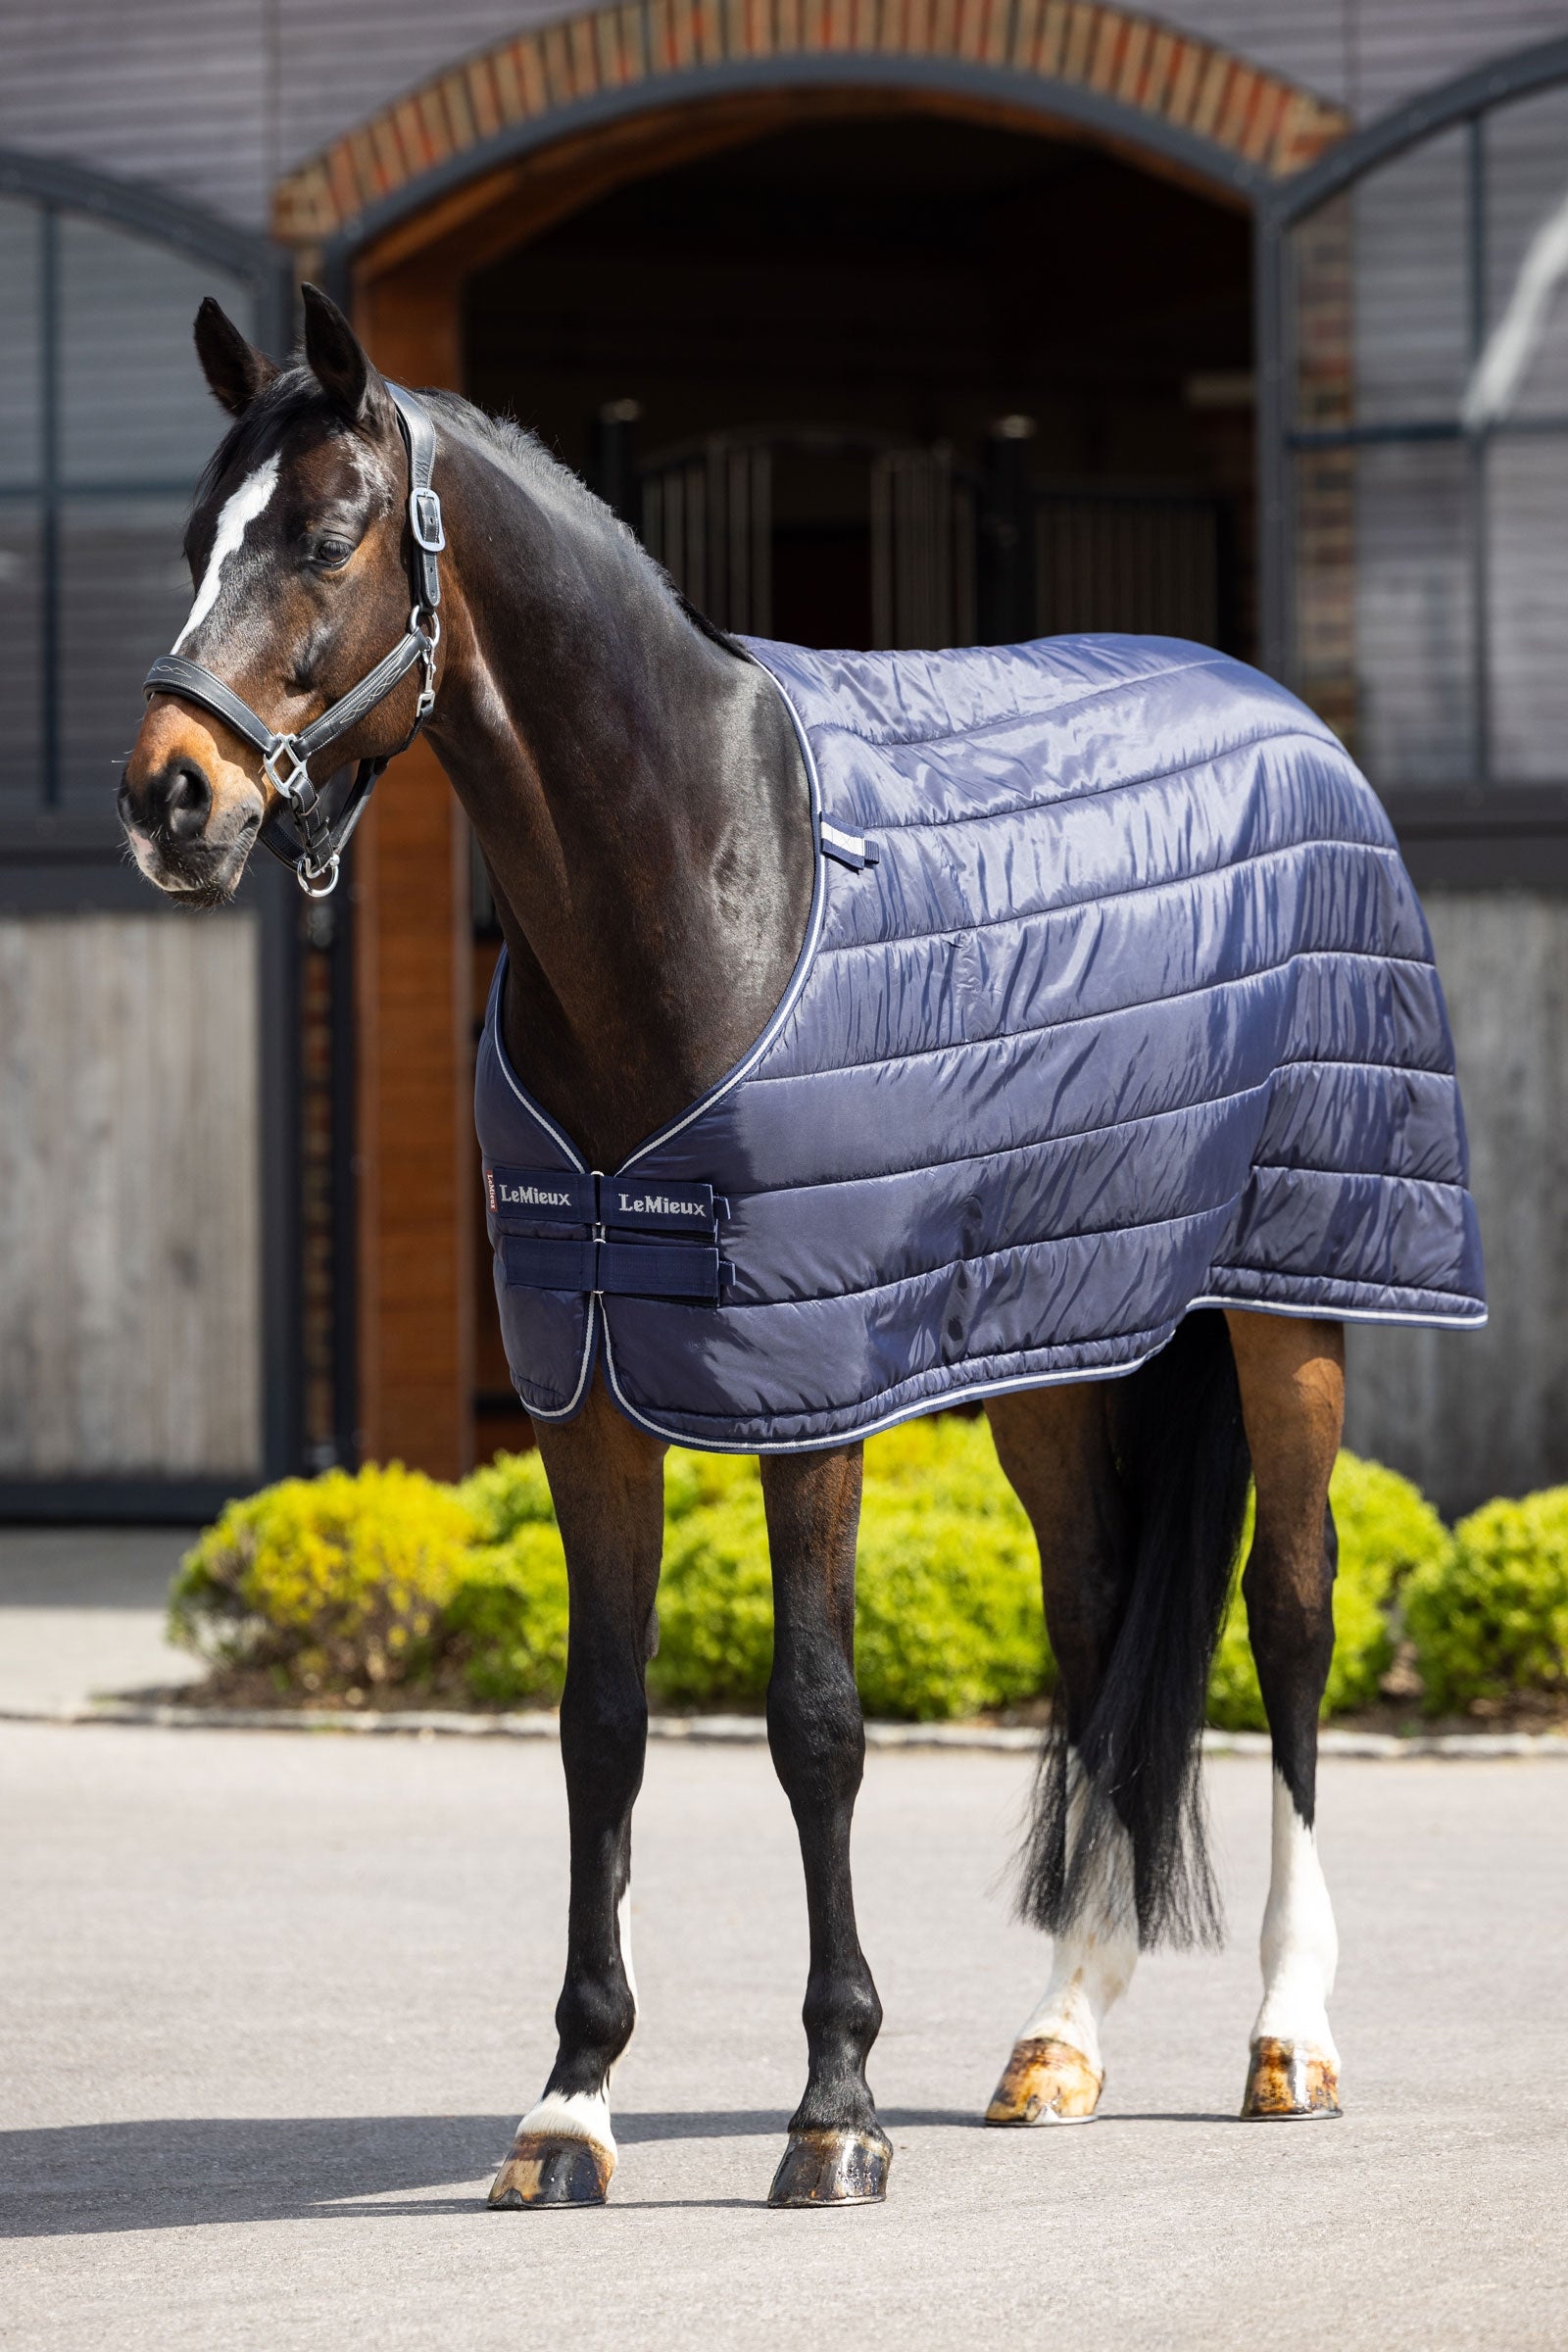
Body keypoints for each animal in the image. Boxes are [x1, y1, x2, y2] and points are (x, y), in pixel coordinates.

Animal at [119, 287, 1481, 2209]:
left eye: (325, 533)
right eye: (191, 542)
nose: (171, 799)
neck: (709, 880)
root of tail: (1292, 710)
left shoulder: (810, 1395)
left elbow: (817, 1722)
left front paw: (835, 2109)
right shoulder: (588, 1392)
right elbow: (600, 1727)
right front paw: (572, 2102)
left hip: (1292, 1305)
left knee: (1289, 1619)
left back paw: (1290, 2037)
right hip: (1055, 1344)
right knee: (1095, 1626)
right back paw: (1059, 2037)